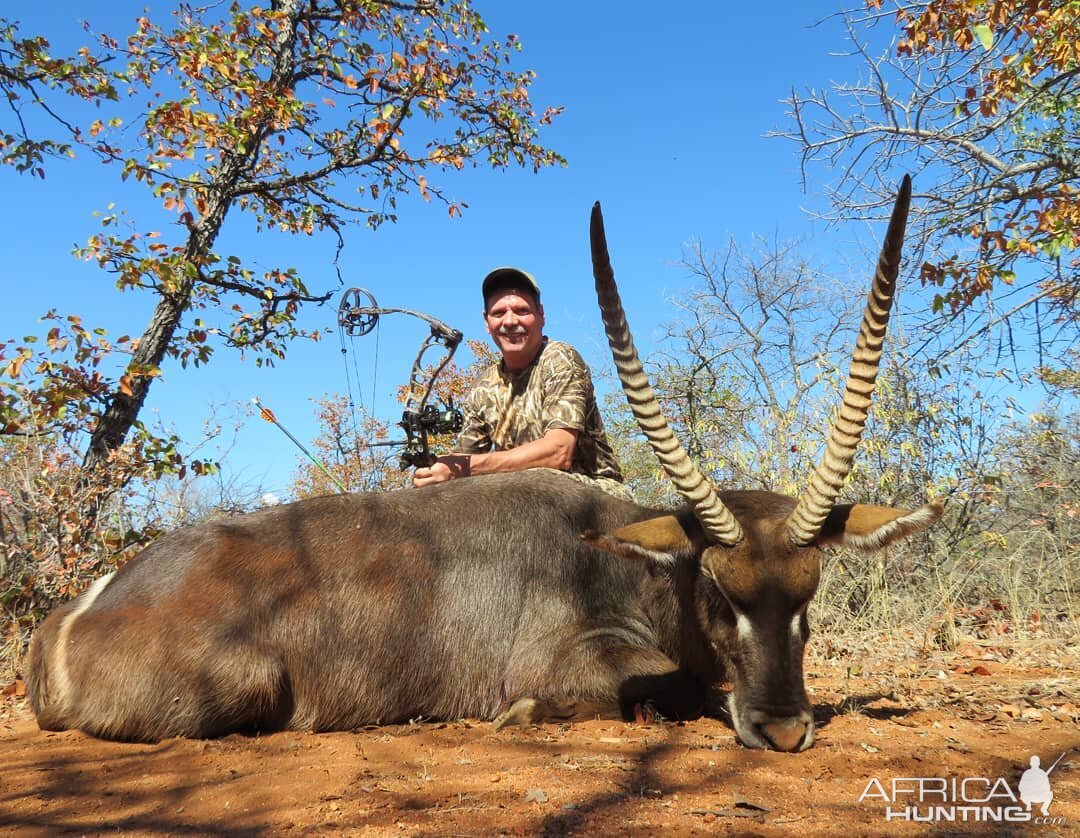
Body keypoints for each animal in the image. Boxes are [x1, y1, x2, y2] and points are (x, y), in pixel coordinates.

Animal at [25, 178, 937, 751]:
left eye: (810, 592)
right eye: (720, 589)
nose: (782, 729)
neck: (618, 555)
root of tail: (80, 610)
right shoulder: (576, 658)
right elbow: (672, 686)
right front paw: (521, 715)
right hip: (245, 686)